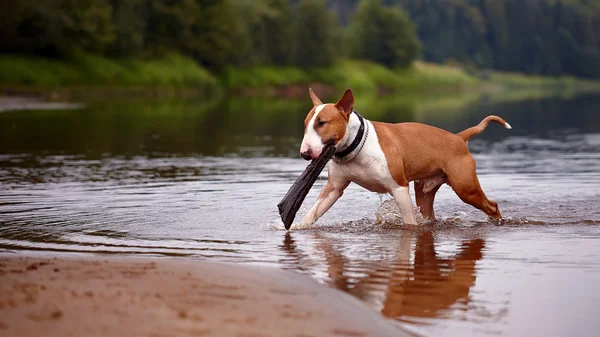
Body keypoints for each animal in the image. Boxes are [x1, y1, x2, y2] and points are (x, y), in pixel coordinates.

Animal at [298, 88, 510, 226]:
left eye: (322, 123)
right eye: (305, 124)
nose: (304, 153)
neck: (356, 145)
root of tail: (458, 137)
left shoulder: (399, 187)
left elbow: (409, 222)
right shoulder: (334, 188)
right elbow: (313, 212)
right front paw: (296, 226)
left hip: (466, 188)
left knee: (491, 205)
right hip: (424, 191)